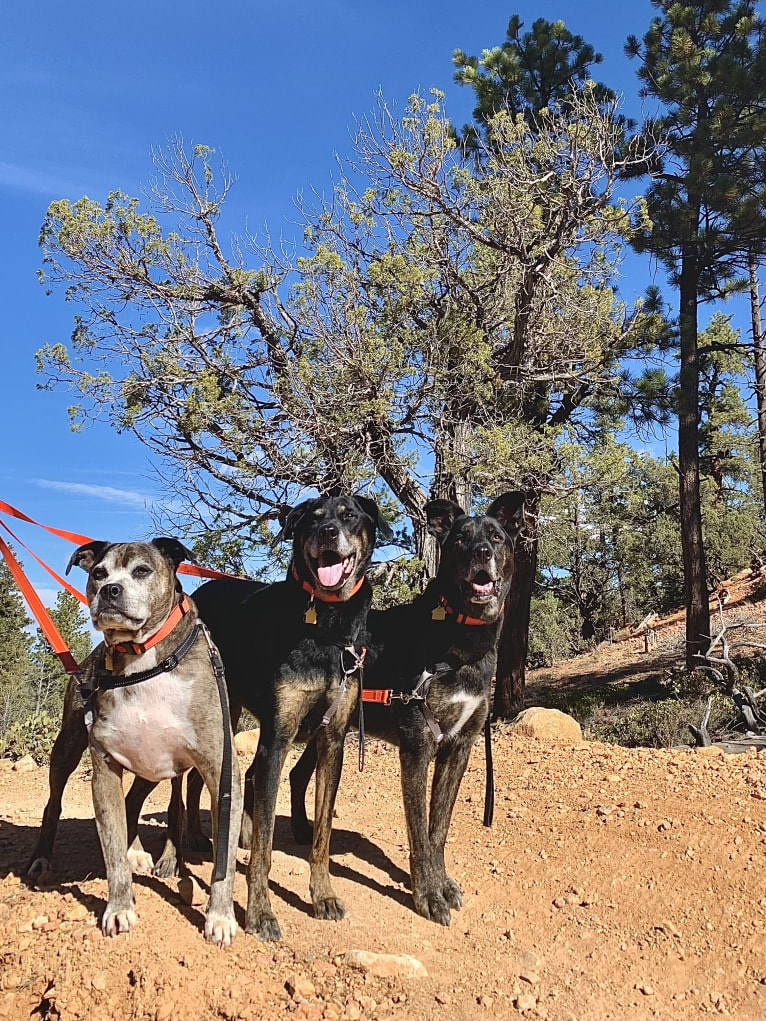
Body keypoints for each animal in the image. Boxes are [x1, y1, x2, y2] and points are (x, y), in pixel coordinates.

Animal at [189, 494, 392, 939]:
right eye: (310, 520)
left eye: (350, 515)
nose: (328, 533)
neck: (327, 627)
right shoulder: (277, 739)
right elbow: (265, 851)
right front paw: (260, 913)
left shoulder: (332, 741)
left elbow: (322, 836)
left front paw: (323, 896)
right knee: (195, 782)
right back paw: (185, 845)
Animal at [290, 490, 527, 931]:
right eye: (459, 540)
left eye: (497, 537)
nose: (482, 554)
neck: (458, 637)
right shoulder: (417, 747)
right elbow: (418, 831)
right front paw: (427, 896)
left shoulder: (458, 748)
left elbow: (438, 830)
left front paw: (441, 883)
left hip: (327, 728)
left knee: (298, 775)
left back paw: (300, 829)